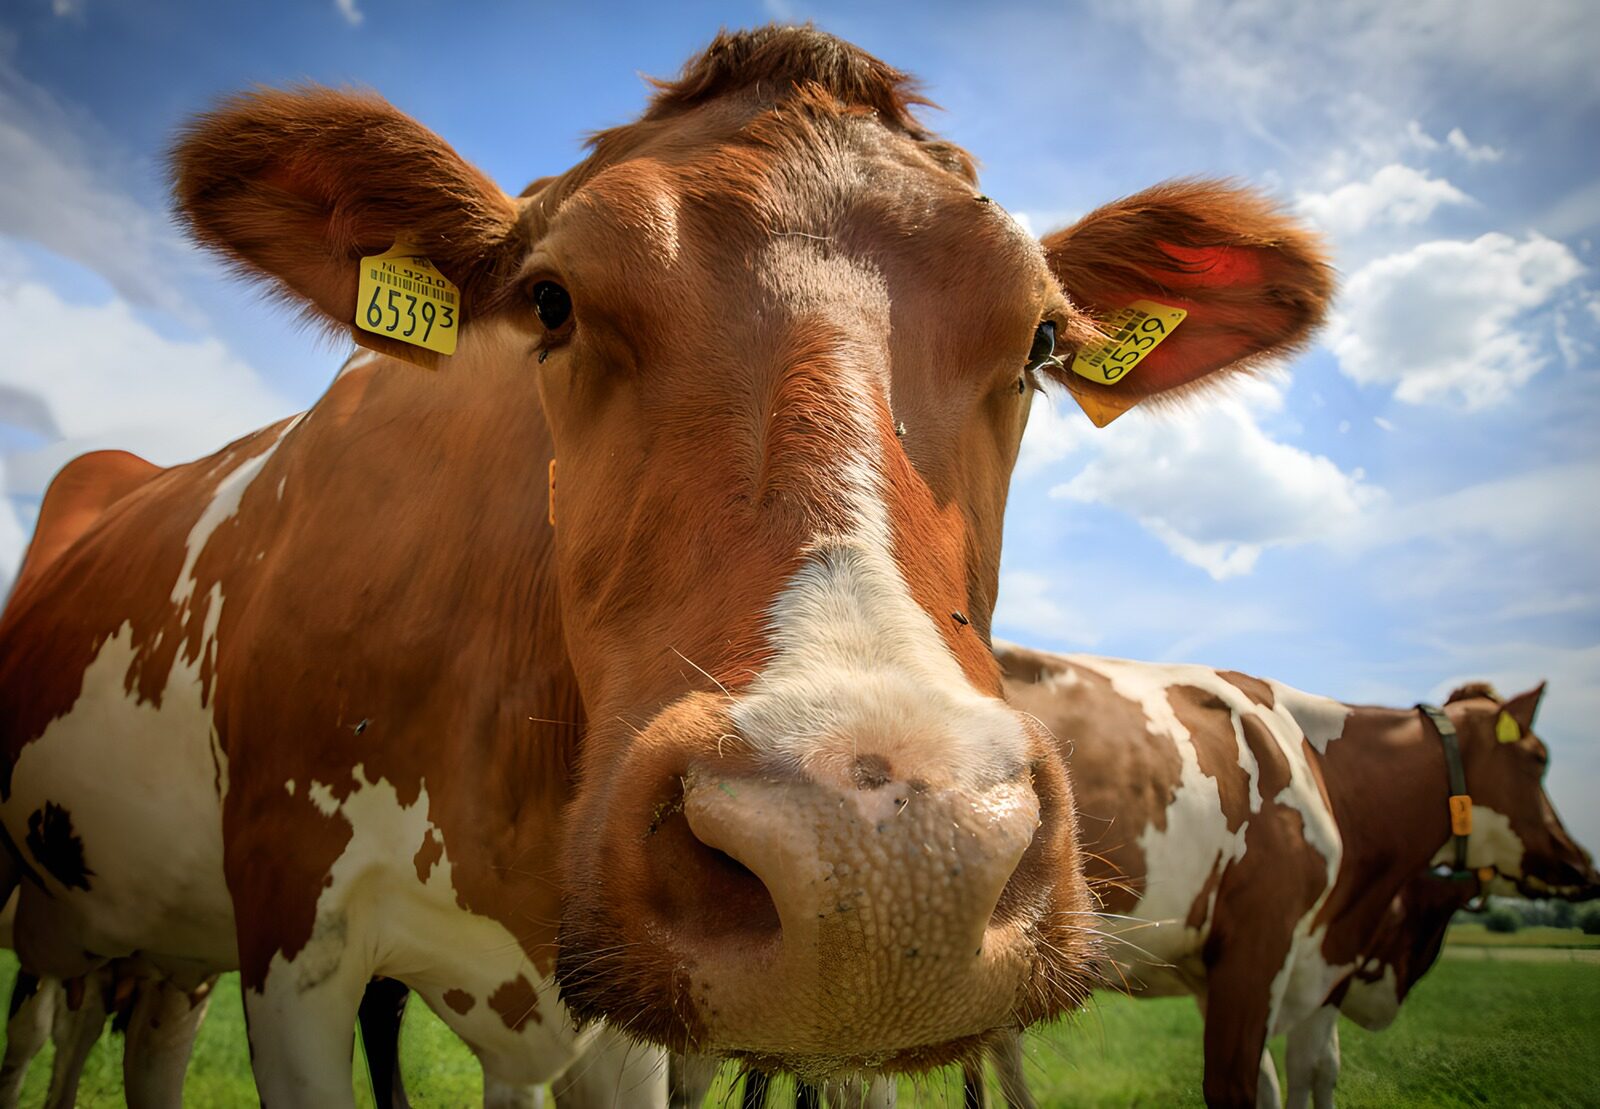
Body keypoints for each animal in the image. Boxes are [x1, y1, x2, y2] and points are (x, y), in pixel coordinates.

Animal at [996, 644, 1599, 1107]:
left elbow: (1287, 1078)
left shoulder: (1229, 968)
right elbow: (1258, 1080)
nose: (1583, 865)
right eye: (1538, 759)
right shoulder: (1267, 939)